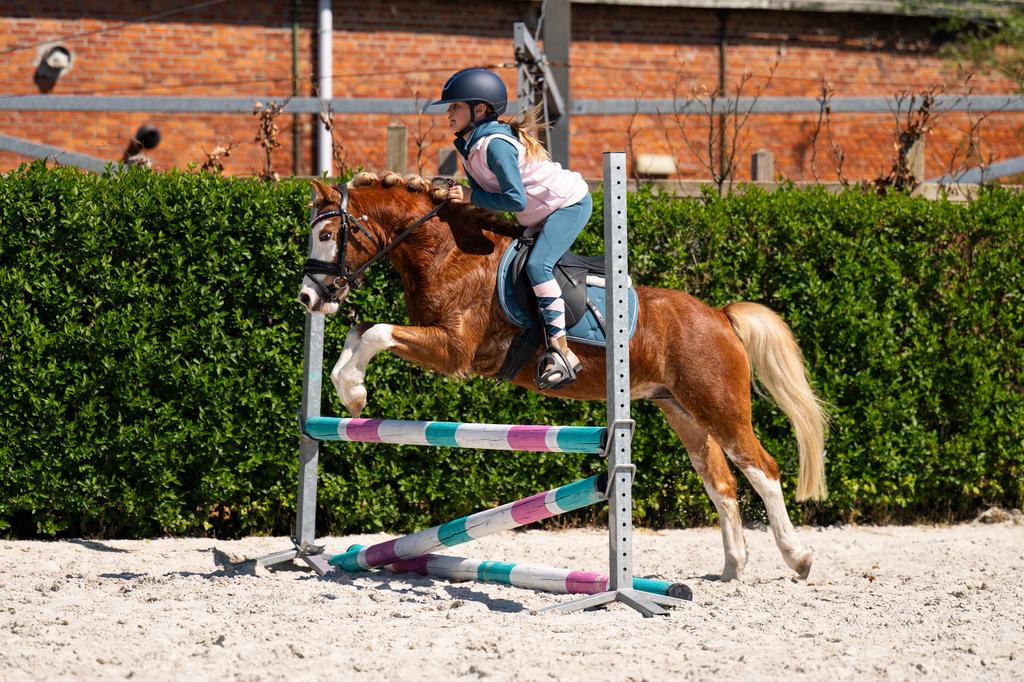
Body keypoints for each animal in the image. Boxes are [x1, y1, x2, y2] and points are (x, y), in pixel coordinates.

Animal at [298, 171, 829, 582]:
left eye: (326, 236)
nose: (307, 298)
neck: (447, 253)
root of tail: (719, 315)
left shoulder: (452, 350)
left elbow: (375, 331)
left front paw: (354, 390)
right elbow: (360, 332)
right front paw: (349, 390)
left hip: (718, 404)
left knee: (763, 469)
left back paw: (799, 558)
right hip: (681, 410)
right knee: (720, 482)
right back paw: (732, 568)